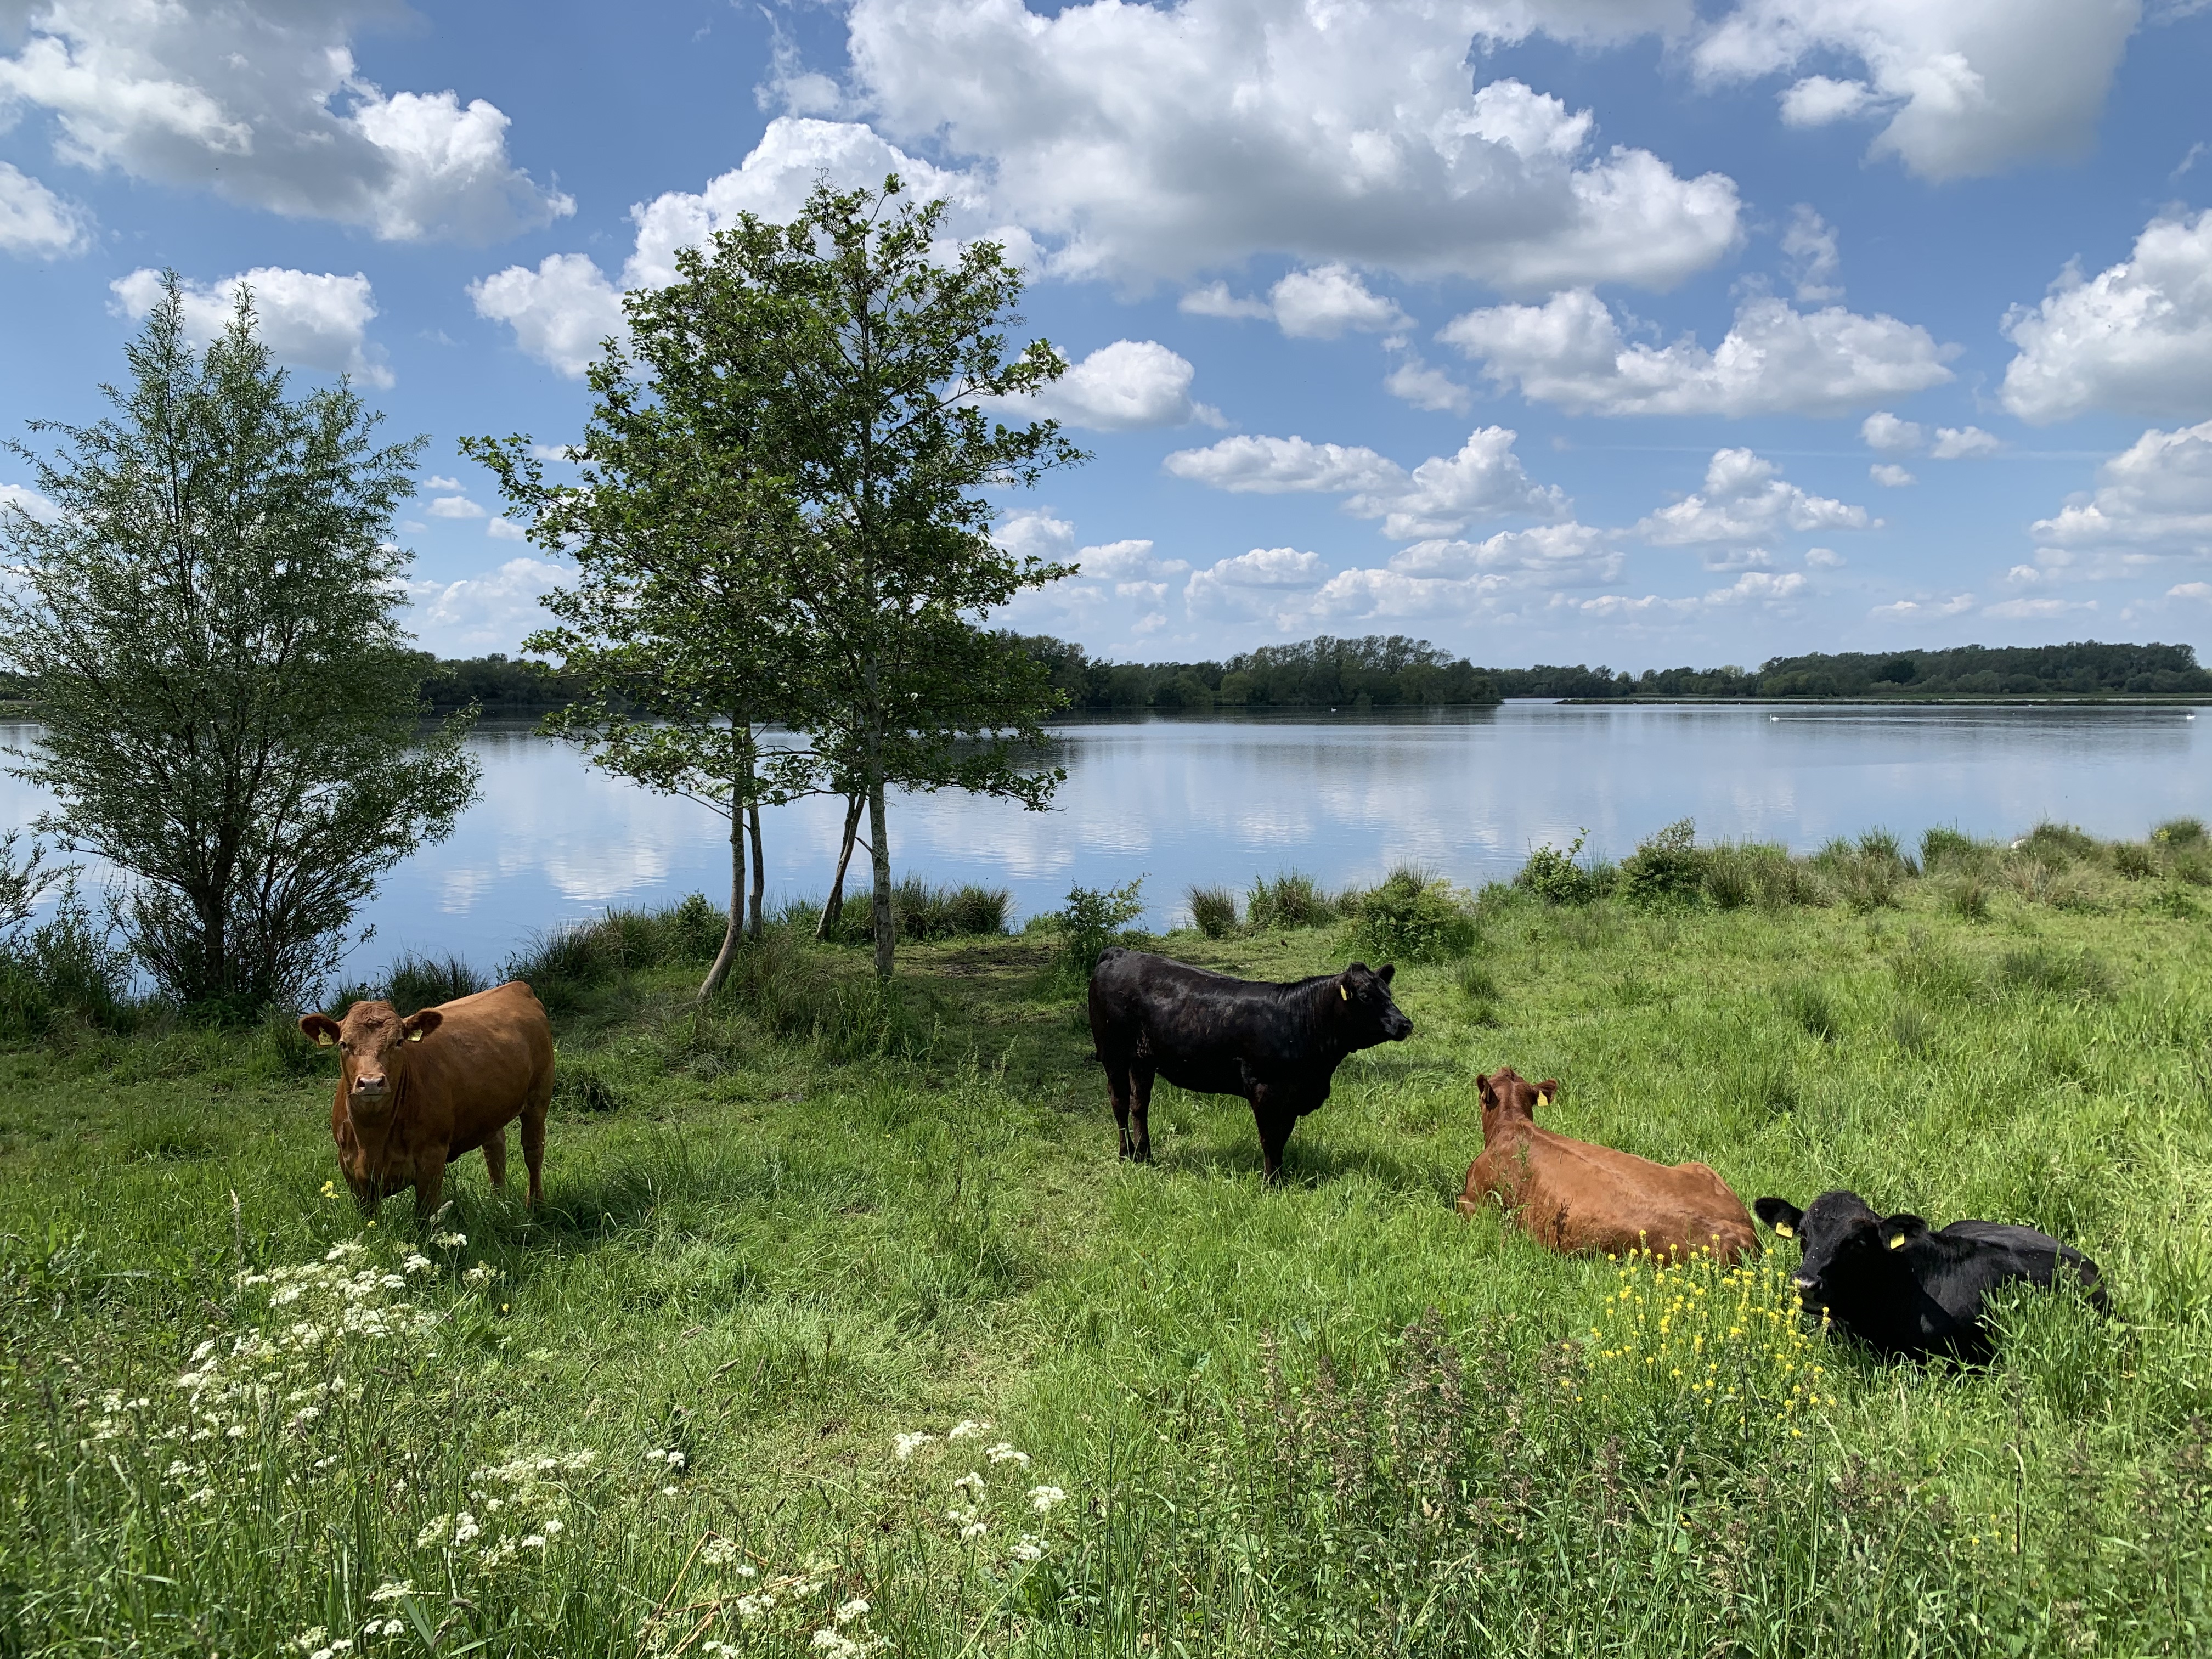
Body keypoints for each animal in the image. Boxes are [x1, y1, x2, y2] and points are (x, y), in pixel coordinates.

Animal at [299, 980, 555, 1222]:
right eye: (344, 1044)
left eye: (399, 1042)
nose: (371, 1082)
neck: (372, 1139)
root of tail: (516, 987)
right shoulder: (350, 1167)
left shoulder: (432, 1160)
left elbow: (425, 1219)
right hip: (490, 1109)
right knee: (495, 1148)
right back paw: (499, 1203)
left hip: (539, 1098)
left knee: (533, 1150)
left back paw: (536, 1205)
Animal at [1087, 948, 1413, 1183]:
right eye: (1365, 996)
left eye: (1389, 993)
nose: (1405, 1024)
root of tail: (1119, 953)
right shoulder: (1264, 1088)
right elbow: (1269, 1139)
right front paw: (1271, 1183)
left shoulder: (1293, 1096)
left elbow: (1282, 1139)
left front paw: (1281, 1177)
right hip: (1112, 1053)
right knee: (1119, 1102)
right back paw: (1125, 1154)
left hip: (1143, 1060)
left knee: (1139, 1105)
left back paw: (1145, 1156)